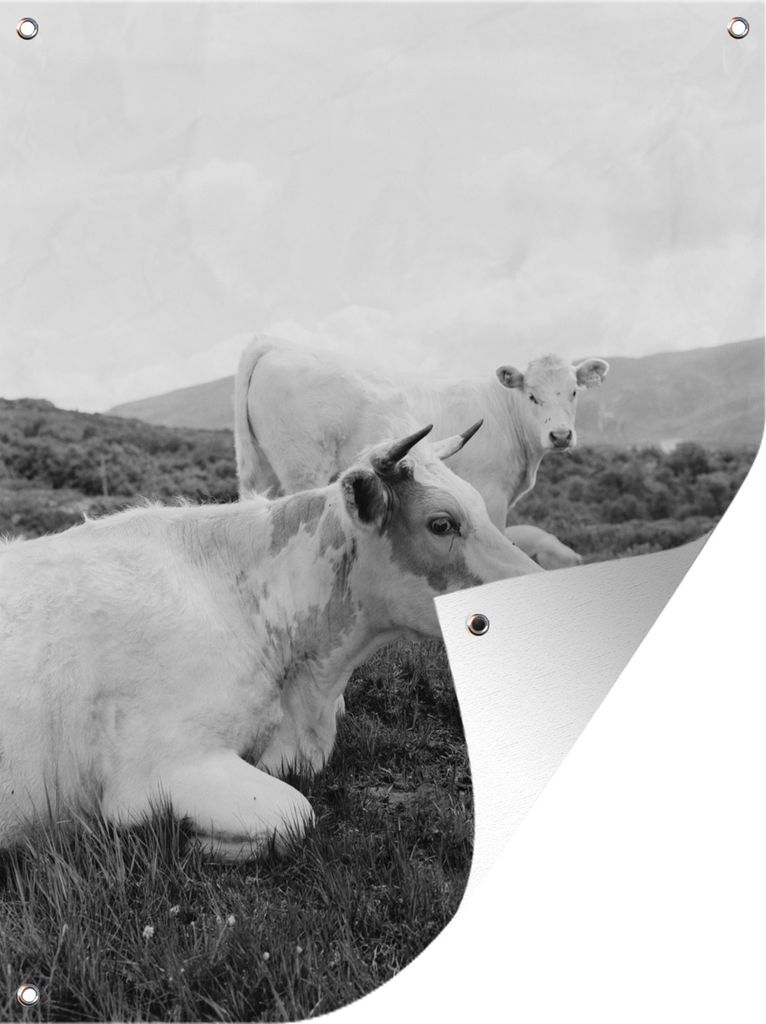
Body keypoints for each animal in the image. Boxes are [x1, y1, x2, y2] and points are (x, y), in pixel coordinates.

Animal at [234, 337, 609, 540]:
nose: (560, 435)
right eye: (532, 396)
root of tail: (275, 344)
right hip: (303, 468)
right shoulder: (491, 494)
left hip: (261, 469)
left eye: (574, 392)